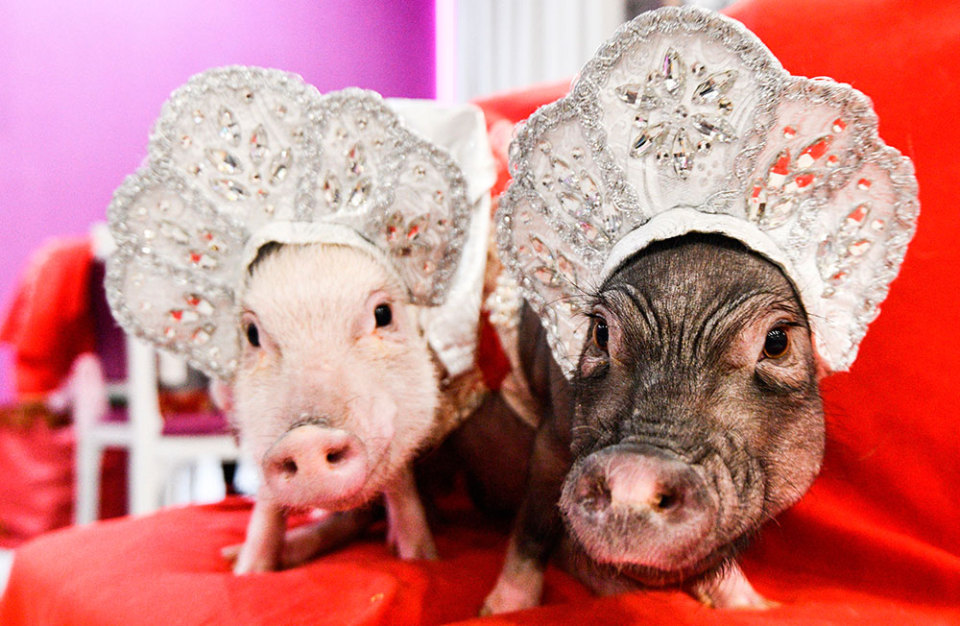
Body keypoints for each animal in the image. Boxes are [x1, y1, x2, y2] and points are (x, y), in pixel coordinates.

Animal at [462, 232, 825, 613]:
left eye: (777, 341)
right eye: (601, 331)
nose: (634, 474)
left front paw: (759, 608)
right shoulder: (553, 435)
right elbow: (534, 522)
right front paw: (498, 611)